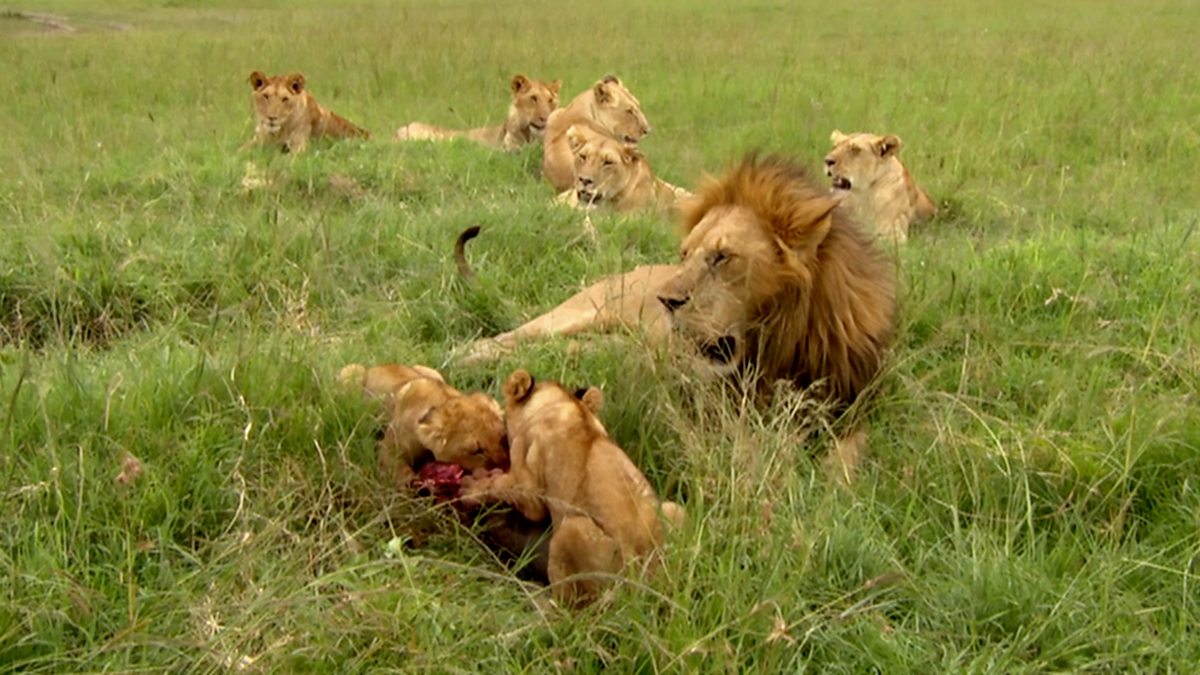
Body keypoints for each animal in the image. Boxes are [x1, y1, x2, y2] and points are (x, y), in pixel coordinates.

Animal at [339, 362, 507, 486]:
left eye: (503, 440)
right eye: (476, 451)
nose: (504, 467)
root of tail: (377, 365)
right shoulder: (388, 449)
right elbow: (401, 475)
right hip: (350, 370)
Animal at [394, 74, 562, 151]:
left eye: (550, 100)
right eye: (533, 98)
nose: (546, 118)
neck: (531, 135)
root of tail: (399, 129)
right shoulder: (507, 148)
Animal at [462, 370, 684, 606]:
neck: (565, 403)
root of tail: (648, 578)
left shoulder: (529, 485)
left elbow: (501, 487)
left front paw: (469, 488)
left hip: (571, 530)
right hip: (673, 509)